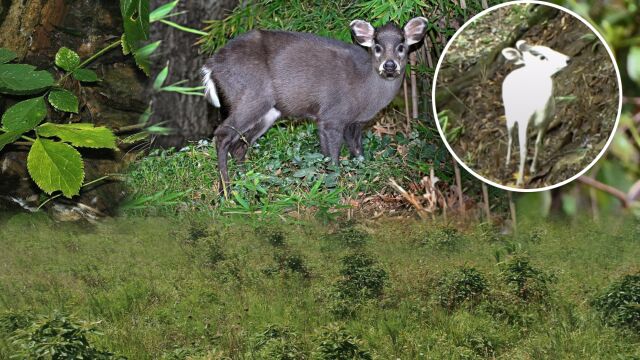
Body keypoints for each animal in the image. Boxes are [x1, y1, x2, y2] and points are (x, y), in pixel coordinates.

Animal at [202, 17, 428, 188]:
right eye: (377, 46)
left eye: (401, 46)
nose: (389, 66)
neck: (366, 92)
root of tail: (212, 66)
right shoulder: (332, 115)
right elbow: (333, 157)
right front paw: (336, 185)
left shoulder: (353, 122)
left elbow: (356, 152)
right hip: (252, 94)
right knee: (222, 134)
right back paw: (227, 191)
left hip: (268, 111)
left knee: (240, 145)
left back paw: (245, 181)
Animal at [500, 39, 568, 187]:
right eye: (541, 57)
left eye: (550, 49)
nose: (568, 59)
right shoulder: (523, 121)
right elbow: (523, 149)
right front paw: (519, 181)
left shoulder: (547, 120)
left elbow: (538, 143)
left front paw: (533, 169)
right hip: (509, 115)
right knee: (510, 137)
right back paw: (507, 162)